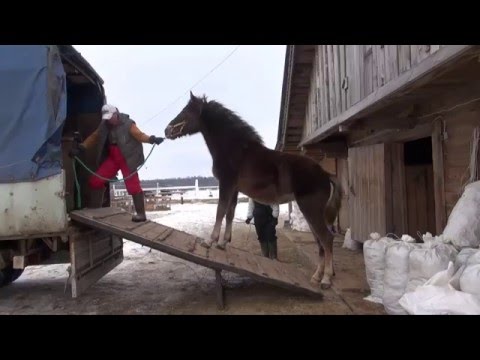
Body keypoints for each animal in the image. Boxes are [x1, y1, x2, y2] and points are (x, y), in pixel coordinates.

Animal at [164, 91, 342, 288]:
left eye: (186, 111)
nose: (167, 130)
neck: (236, 149)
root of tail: (325, 174)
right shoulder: (233, 189)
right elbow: (230, 213)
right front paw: (223, 243)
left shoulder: (226, 184)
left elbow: (220, 211)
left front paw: (209, 241)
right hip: (311, 212)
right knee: (320, 242)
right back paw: (316, 277)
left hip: (310, 209)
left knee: (326, 239)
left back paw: (326, 279)